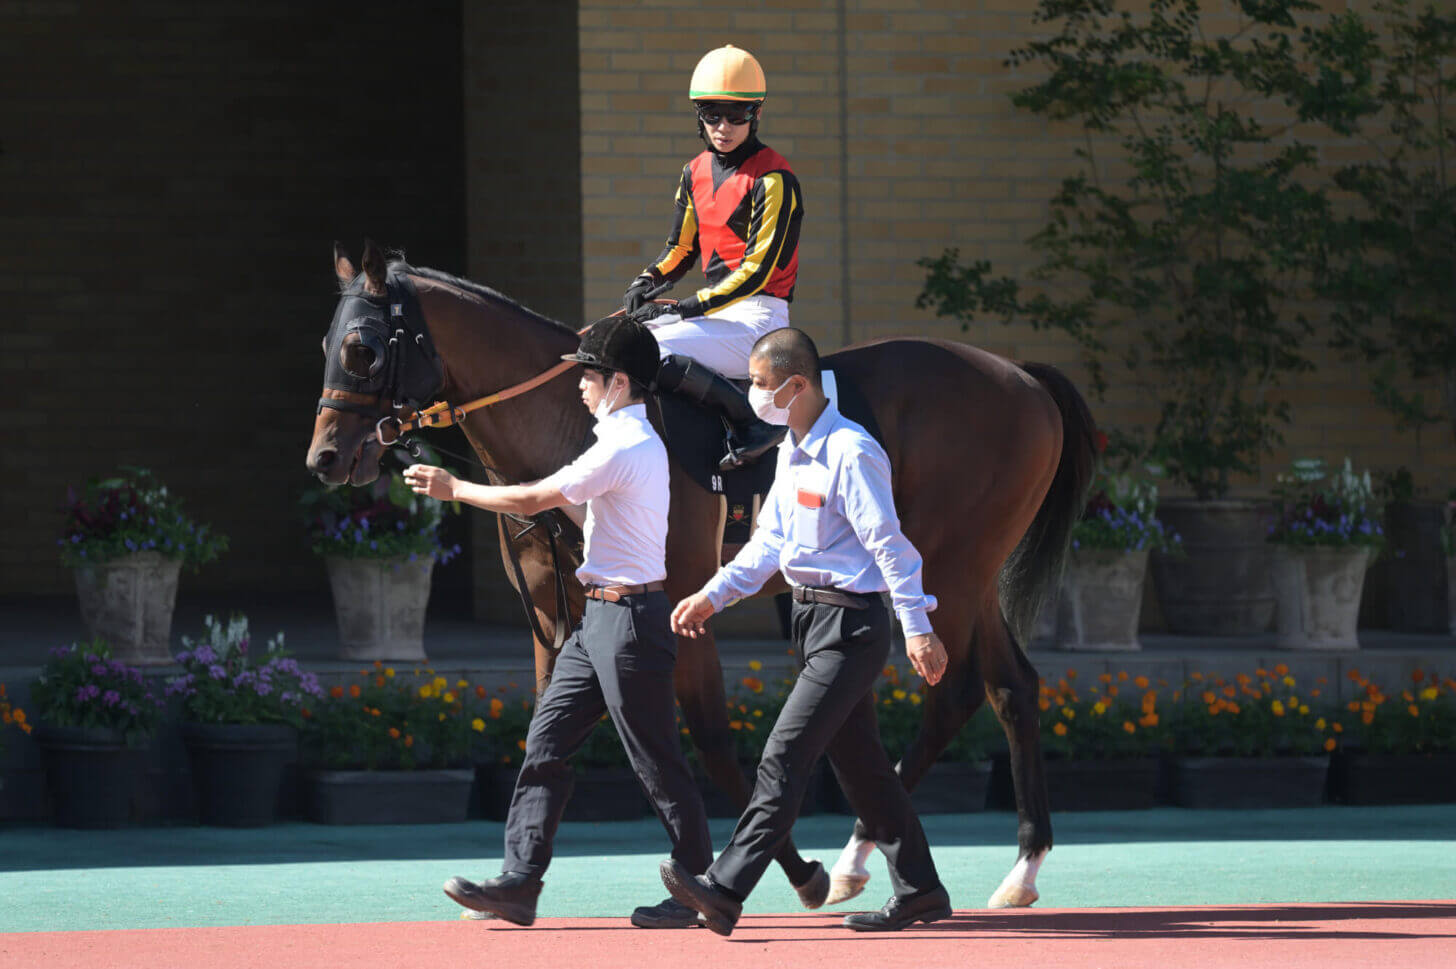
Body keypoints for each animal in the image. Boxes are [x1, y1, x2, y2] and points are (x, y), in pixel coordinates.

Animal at [307, 240, 1094, 907]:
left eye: (362, 348)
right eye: (327, 344)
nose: (324, 457)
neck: (573, 423)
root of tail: (1021, 376)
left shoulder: (682, 605)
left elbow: (710, 740)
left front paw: (788, 869)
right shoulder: (553, 614)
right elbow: (545, 732)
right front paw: (512, 880)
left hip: (951, 568)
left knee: (955, 690)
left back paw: (859, 858)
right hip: (967, 571)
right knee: (1012, 686)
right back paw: (1017, 868)